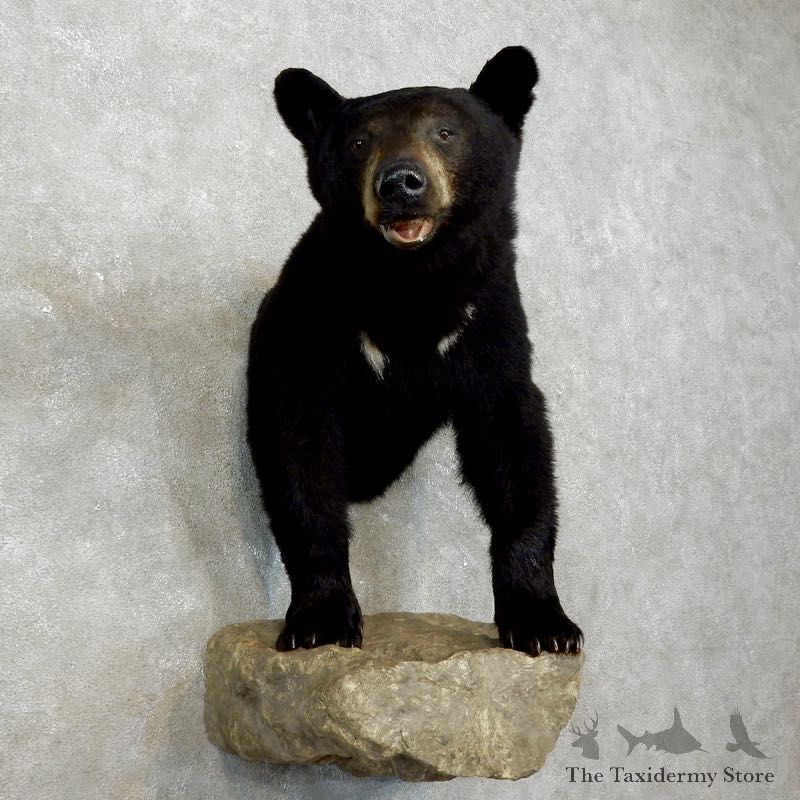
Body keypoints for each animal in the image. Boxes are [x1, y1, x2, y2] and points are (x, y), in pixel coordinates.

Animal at [246, 46, 582, 657]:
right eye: (360, 142)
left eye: (445, 132)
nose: (400, 183)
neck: (412, 289)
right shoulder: (311, 335)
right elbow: (301, 465)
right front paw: (321, 619)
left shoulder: (490, 334)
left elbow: (517, 457)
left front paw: (544, 623)